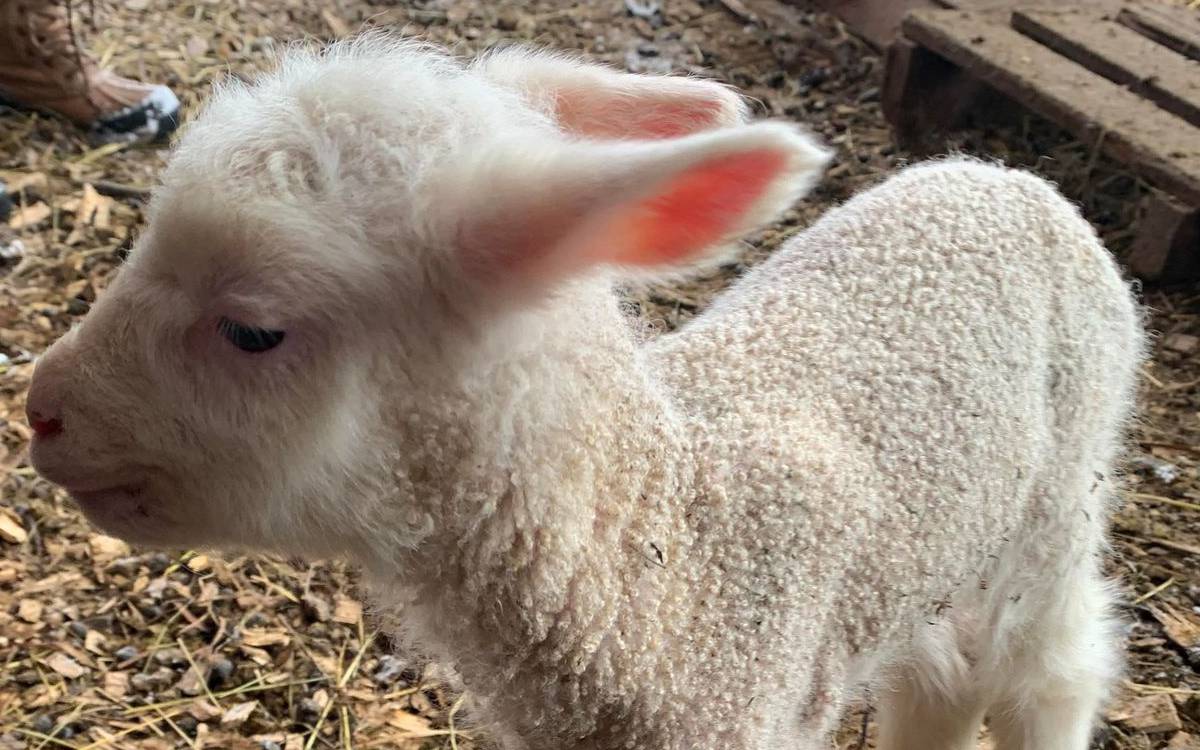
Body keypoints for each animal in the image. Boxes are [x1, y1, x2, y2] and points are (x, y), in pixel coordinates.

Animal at [28, 36, 1142, 748]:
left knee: (1051, 670)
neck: (678, 567)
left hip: (1060, 501)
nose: (42, 411)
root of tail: (1004, 175)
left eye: (253, 328)